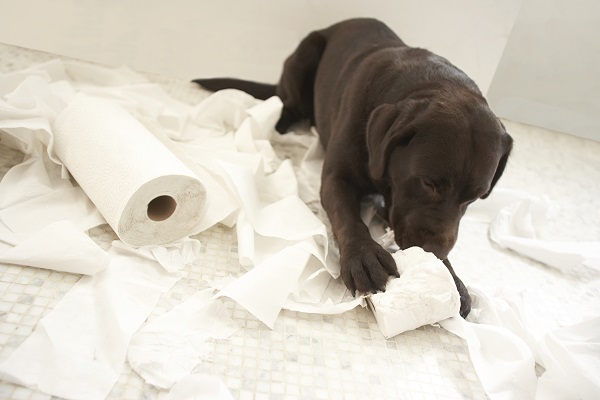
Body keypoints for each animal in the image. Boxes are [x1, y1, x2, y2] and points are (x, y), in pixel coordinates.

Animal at [195, 19, 512, 318]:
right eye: (429, 184)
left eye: (475, 197)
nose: (437, 251)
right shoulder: (337, 178)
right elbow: (347, 217)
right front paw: (364, 256)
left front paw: (450, 274)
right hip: (305, 57)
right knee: (288, 104)